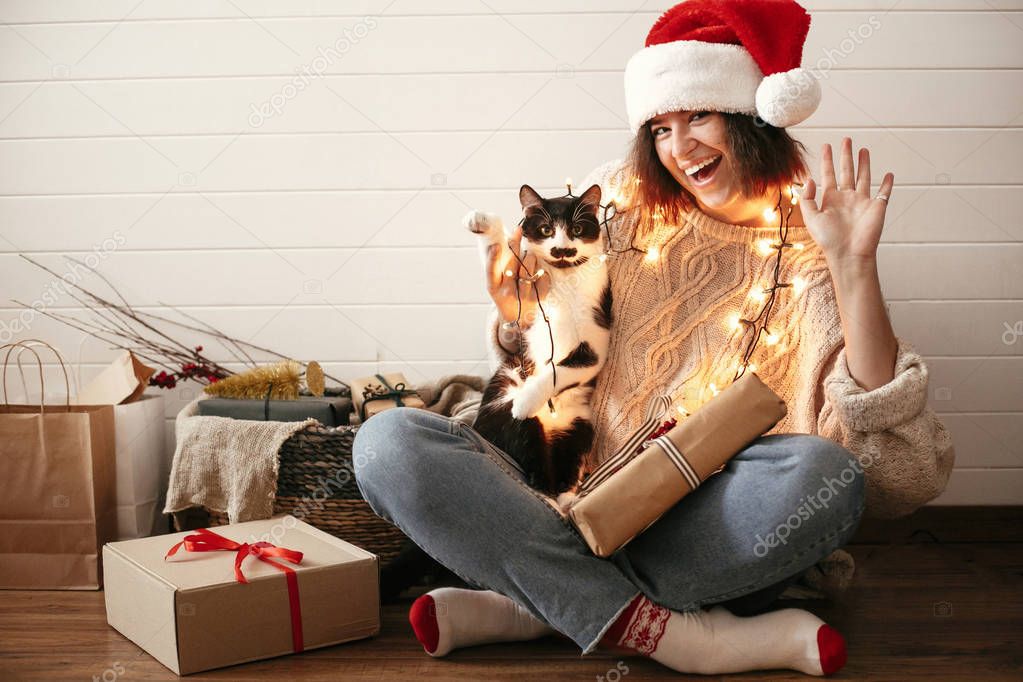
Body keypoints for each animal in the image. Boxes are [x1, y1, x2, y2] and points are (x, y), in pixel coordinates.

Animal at [466, 184, 613, 498]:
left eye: (577, 228)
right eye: (546, 229)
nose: (562, 249)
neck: (564, 276)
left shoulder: (594, 343)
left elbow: (560, 371)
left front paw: (527, 400)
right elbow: (501, 256)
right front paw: (483, 222)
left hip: (580, 425)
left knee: (562, 473)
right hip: (503, 400)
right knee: (535, 463)